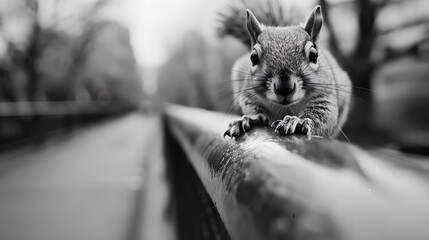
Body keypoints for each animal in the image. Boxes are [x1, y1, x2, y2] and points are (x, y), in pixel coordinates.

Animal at [219, 0, 352, 139]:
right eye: (253, 57)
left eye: (314, 55)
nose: (284, 88)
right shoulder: (249, 93)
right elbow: (251, 106)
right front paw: (250, 119)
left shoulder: (325, 96)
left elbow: (324, 116)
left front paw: (298, 121)